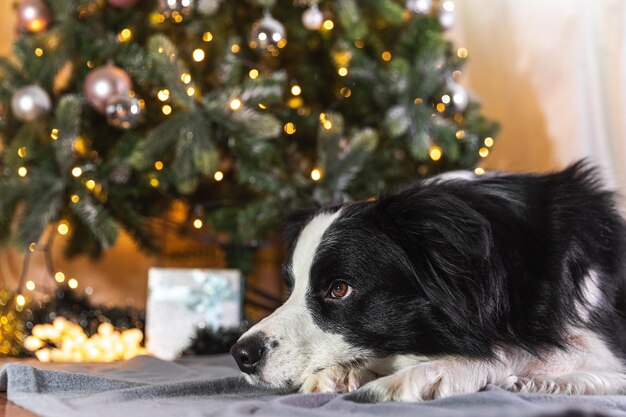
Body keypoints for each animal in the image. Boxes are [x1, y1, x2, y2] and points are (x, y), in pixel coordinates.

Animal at [229, 161, 624, 402]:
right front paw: (341, 372)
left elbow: (515, 350)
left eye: (339, 289)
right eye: (290, 286)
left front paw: (421, 375)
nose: (241, 354)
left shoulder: (605, 349)